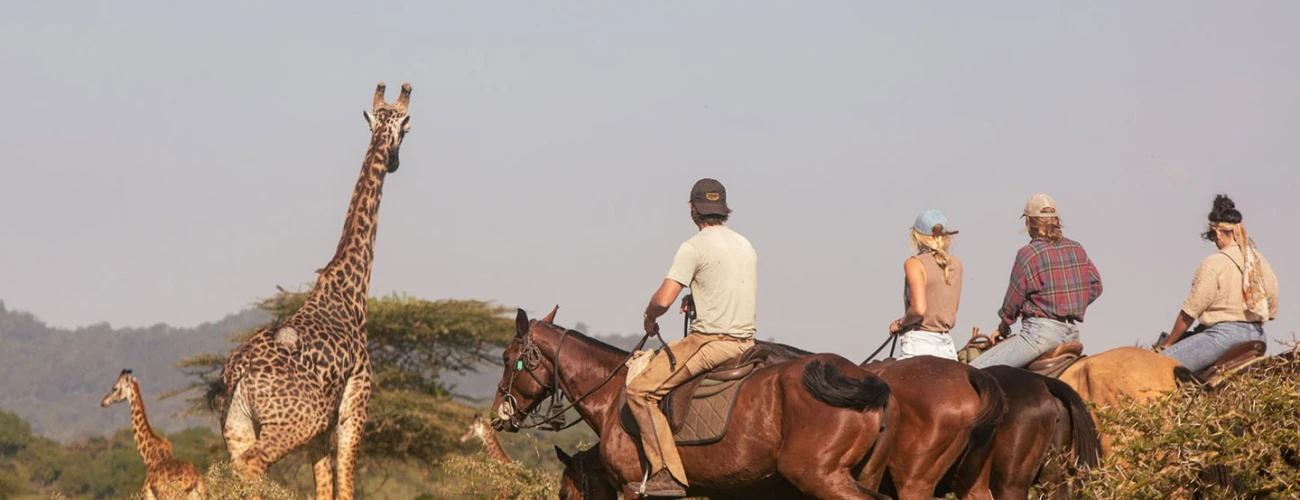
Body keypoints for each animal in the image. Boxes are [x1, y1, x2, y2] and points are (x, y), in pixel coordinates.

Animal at [100, 368, 205, 496]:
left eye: (114, 388)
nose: (103, 402)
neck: (149, 456)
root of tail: (194, 479)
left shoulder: (147, 493)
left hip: (172, 495)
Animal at [209, 79, 410, 496]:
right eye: (407, 129)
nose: (395, 161)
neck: (350, 290)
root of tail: (238, 373)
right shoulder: (354, 406)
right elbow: (345, 485)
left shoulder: (323, 429)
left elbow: (323, 486)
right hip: (298, 421)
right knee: (253, 466)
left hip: (236, 425)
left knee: (235, 469)